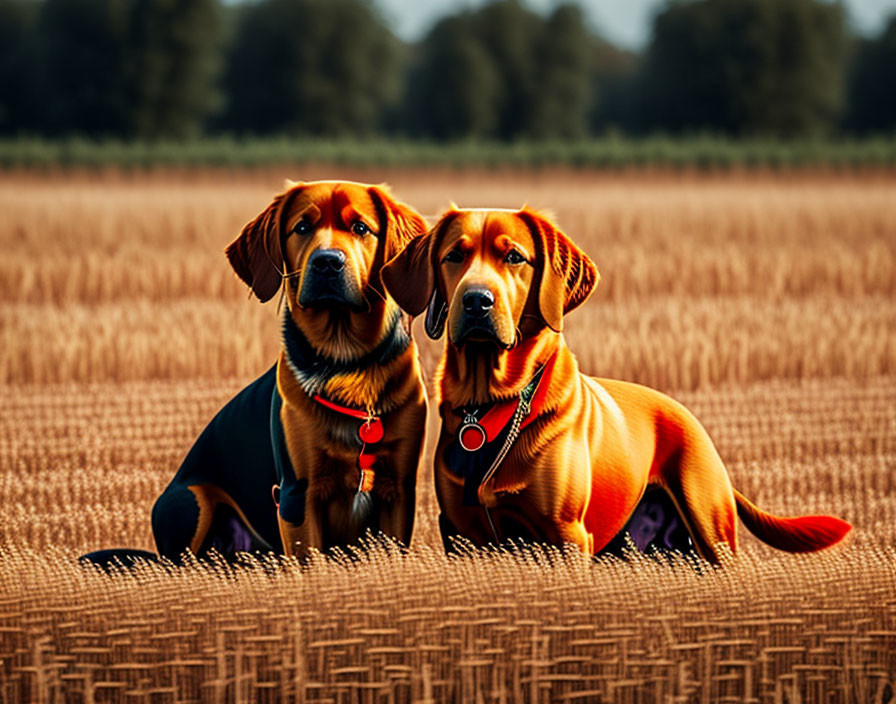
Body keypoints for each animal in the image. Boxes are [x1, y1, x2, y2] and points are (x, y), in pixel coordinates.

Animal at [150, 180, 430, 560]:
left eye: (360, 227)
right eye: (302, 227)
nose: (327, 262)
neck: (346, 362)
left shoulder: (398, 490)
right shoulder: (298, 494)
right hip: (191, 499)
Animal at [380, 206, 856, 564]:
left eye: (514, 257)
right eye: (453, 256)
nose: (476, 301)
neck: (494, 402)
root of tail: (691, 420)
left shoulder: (566, 537)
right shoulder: (462, 535)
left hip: (711, 534)